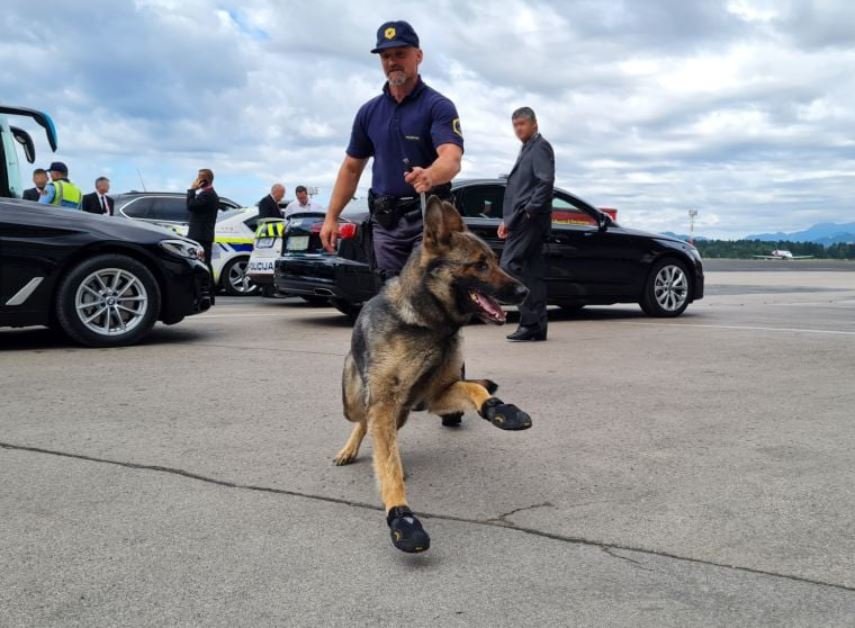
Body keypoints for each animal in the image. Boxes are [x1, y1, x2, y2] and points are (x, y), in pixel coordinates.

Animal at [336, 197, 532, 556]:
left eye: (494, 261)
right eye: (480, 265)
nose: (524, 291)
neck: (429, 325)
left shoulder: (435, 395)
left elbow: (474, 389)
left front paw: (500, 410)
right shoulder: (383, 403)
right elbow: (387, 467)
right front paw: (400, 516)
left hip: (400, 413)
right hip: (356, 403)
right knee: (362, 421)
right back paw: (349, 449)